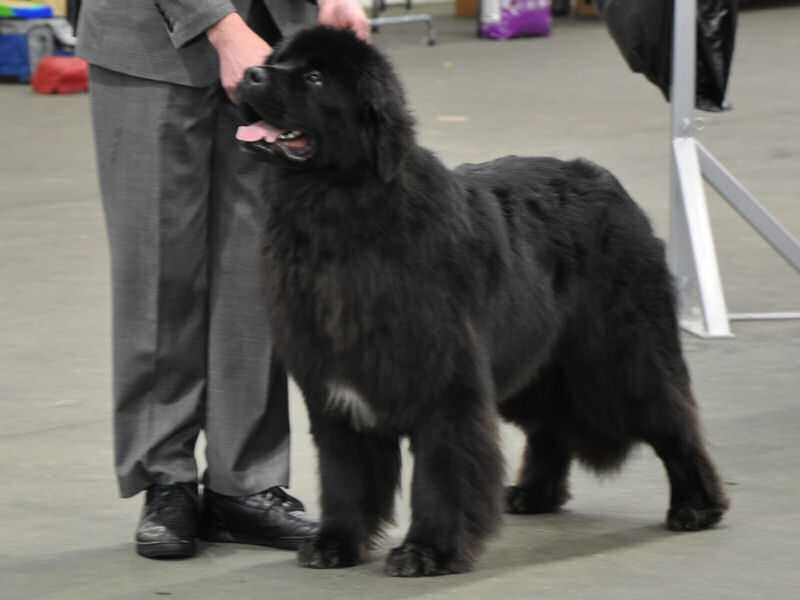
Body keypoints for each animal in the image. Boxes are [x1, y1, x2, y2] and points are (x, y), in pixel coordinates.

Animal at [234, 27, 728, 576]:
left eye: (316, 77)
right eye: (276, 59)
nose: (249, 74)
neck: (336, 215)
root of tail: (611, 185)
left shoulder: (447, 386)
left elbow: (441, 473)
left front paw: (427, 550)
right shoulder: (334, 390)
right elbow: (345, 476)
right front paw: (335, 542)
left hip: (616, 360)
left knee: (672, 420)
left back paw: (696, 505)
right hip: (536, 365)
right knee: (551, 425)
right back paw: (533, 493)